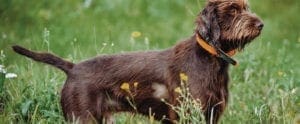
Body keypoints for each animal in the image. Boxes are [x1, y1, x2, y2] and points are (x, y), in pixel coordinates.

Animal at [12, 0, 262, 123]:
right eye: (232, 10)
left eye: (246, 7)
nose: (261, 24)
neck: (209, 57)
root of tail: (72, 68)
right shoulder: (188, 113)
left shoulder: (210, 113)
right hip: (82, 118)